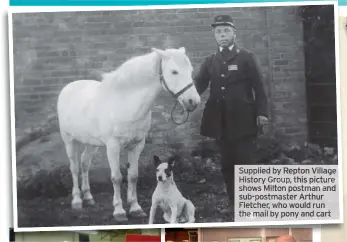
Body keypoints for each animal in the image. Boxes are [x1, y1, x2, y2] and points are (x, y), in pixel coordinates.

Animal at [57, 47, 201, 223]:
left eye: (190, 70)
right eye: (174, 71)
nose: (193, 101)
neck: (125, 103)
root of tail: (68, 88)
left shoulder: (137, 145)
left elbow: (133, 175)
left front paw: (135, 208)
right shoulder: (113, 146)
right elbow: (117, 177)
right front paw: (119, 211)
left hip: (91, 143)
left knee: (85, 164)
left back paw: (88, 197)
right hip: (69, 140)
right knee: (75, 167)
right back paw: (77, 200)